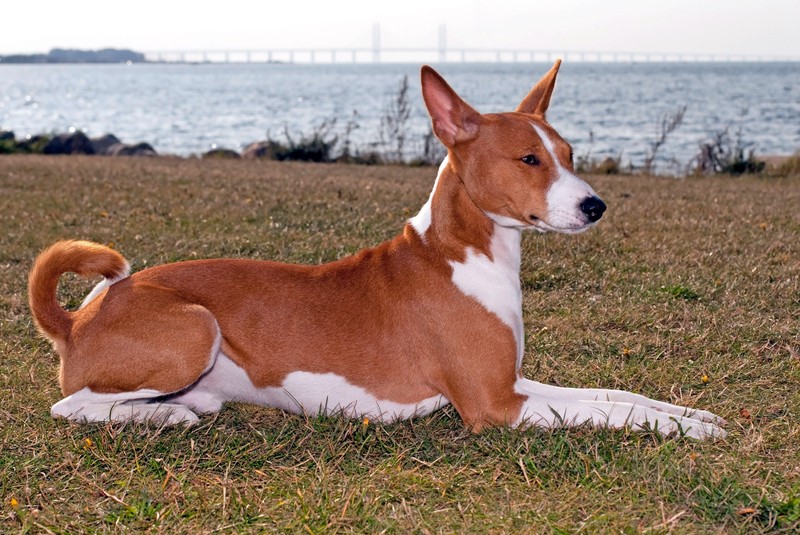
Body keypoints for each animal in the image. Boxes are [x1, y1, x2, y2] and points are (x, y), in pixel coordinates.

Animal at [26, 62, 724, 440]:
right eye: (529, 159)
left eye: (570, 155)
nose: (595, 206)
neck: (463, 255)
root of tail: (78, 317)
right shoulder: (496, 404)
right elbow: (613, 413)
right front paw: (684, 430)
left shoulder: (513, 380)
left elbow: (617, 397)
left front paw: (688, 413)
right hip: (196, 328)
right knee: (69, 404)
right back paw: (162, 419)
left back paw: (174, 410)